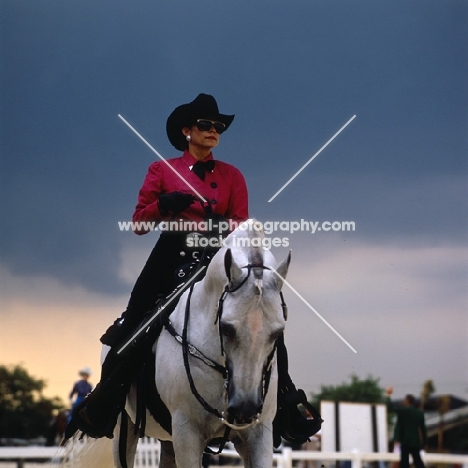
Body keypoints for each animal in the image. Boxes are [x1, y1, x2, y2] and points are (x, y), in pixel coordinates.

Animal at [88, 222, 288, 468]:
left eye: (278, 332)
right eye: (226, 328)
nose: (244, 408)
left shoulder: (259, 433)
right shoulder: (187, 432)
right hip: (123, 432)